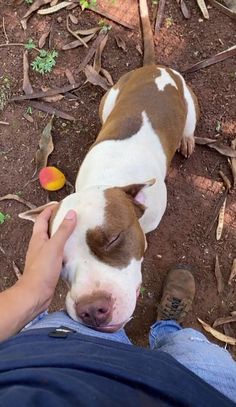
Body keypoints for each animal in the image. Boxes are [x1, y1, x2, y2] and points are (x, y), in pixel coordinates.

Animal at [19, 0, 199, 334]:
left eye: (114, 239)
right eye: (59, 260)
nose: (92, 310)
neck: (110, 178)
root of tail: (153, 68)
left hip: (191, 107)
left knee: (189, 126)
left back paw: (187, 139)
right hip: (110, 98)